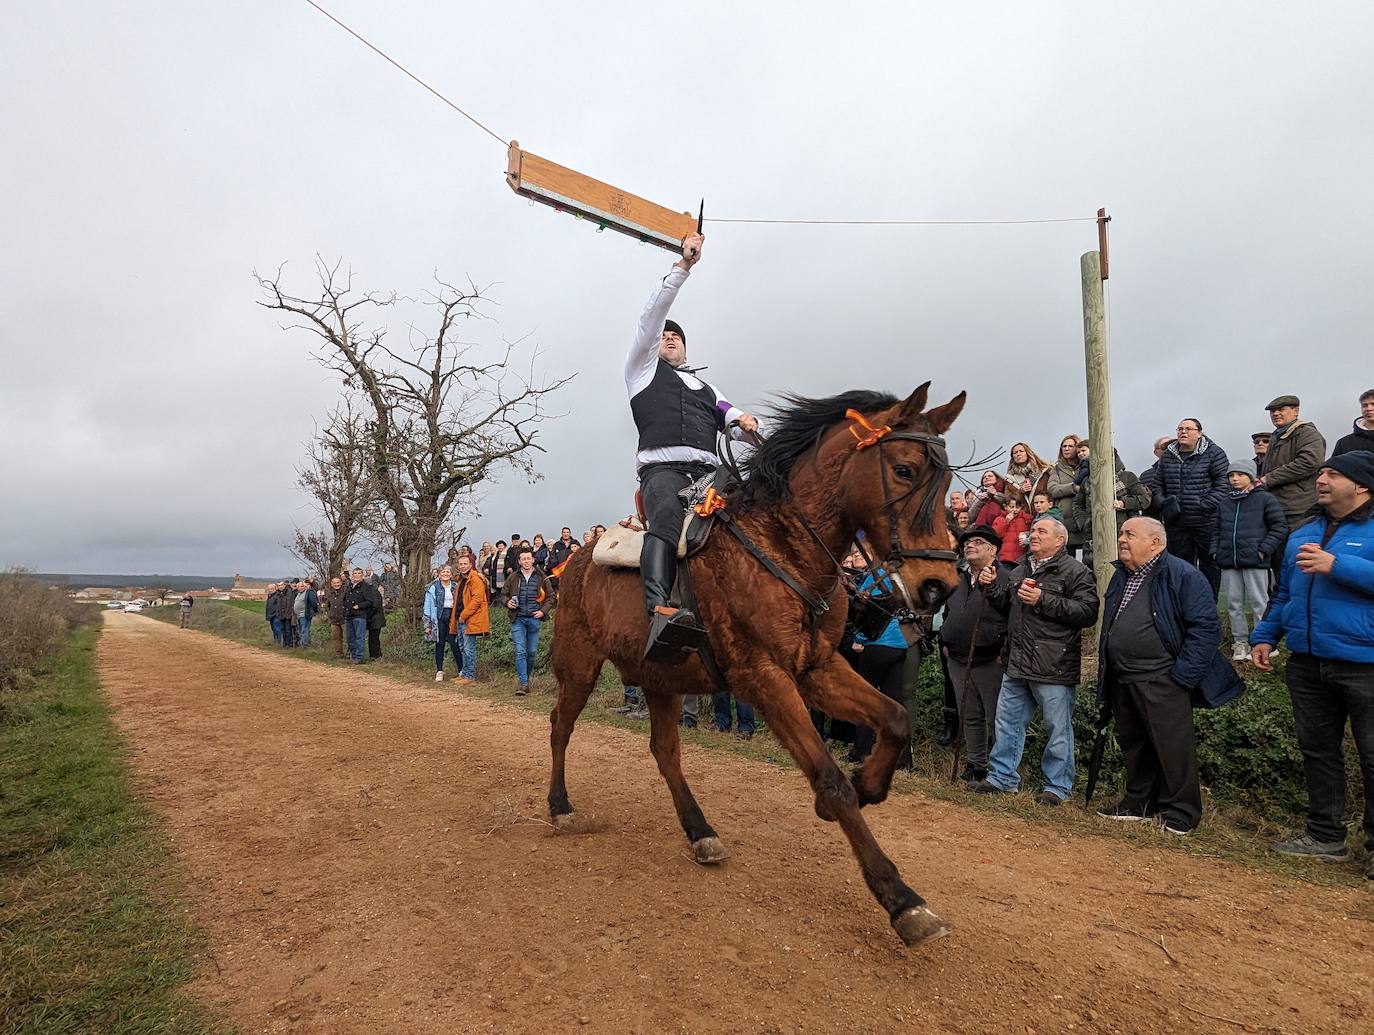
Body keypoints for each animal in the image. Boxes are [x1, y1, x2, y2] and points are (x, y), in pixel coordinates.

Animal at [546, 384, 967, 945]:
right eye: (903, 470)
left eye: (946, 482)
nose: (939, 586)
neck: (783, 549)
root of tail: (574, 559)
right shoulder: (766, 679)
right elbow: (830, 781)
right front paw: (901, 899)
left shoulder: (816, 668)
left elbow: (896, 720)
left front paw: (871, 785)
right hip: (580, 666)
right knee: (561, 727)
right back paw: (560, 807)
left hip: (662, 679)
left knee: (665, 752)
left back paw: (701, 832)